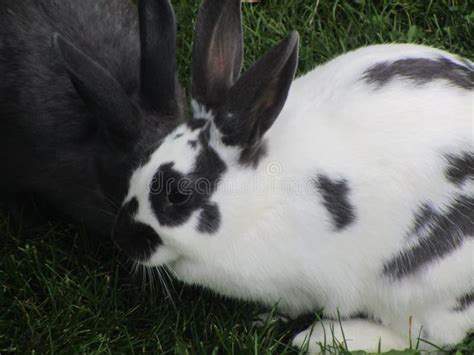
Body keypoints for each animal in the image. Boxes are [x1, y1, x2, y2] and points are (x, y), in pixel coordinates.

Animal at [113, 0, 472, 354]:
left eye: (178, 195)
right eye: (147, 155)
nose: (123, 239)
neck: (257, 204)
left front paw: (267, 320)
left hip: (421, 288)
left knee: (424, 337)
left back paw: (323, 339)